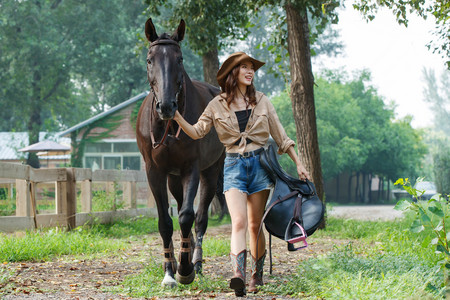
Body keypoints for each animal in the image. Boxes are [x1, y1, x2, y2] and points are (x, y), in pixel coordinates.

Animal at [134, 17, 224, 288]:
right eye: (149, 59)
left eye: (180, 59)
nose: (166, 106)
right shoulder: (155, 172)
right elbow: (165, 221)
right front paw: (169, 271)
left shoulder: (191, 168)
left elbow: (186, 215)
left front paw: (185, 270)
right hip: (173, 179)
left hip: (210, 172)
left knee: (200, 218)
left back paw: (196, 263)